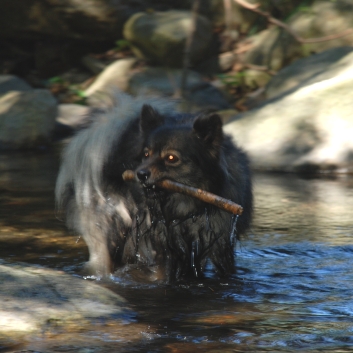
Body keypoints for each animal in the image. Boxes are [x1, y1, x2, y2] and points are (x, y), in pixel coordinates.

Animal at [55, 93, 250, 280]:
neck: (187, 208)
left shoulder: (218, 243)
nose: (140, 174)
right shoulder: (160, 244)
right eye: (146, 154)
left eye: (171, 158)